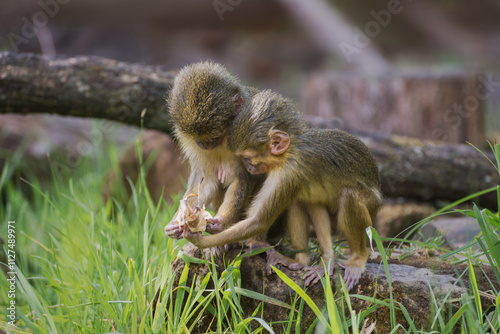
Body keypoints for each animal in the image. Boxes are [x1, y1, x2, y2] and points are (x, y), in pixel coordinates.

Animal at [184, 89, 382, 290]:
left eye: (247, 158)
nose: (248, 168)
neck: (288, 154)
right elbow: (312, 204)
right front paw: (327, 261)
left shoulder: (288, 173)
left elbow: (258, 221)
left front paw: (199, 239)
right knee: (299, 201)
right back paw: (301, 261)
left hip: (372, 208)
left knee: (350, 196)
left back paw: (358, 258)